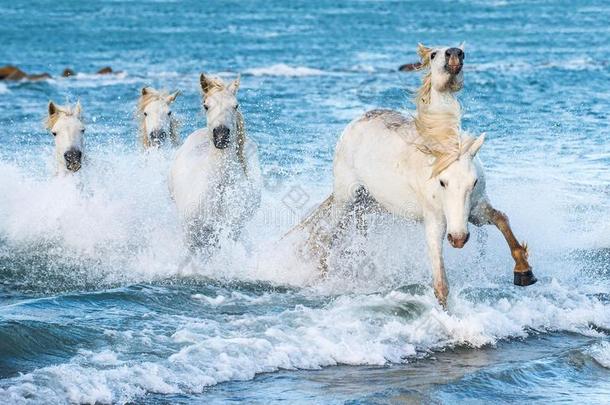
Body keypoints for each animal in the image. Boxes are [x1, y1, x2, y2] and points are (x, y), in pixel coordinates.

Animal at [167, 74, 260, 251]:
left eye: (236, 105)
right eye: (206, 106)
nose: (221, 135)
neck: (219, 190)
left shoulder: (228, 232)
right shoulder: (191, 234)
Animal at [292, 42, 536, 304]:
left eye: (474, 182)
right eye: (442, 183)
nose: (454, 54)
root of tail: (357, 121)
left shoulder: (475, 211)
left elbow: (502, 219)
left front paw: (524, 271)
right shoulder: (436, 223)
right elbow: (441, 284)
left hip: (369, 203)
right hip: (345, 198)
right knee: (327, 234)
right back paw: (323, 277)